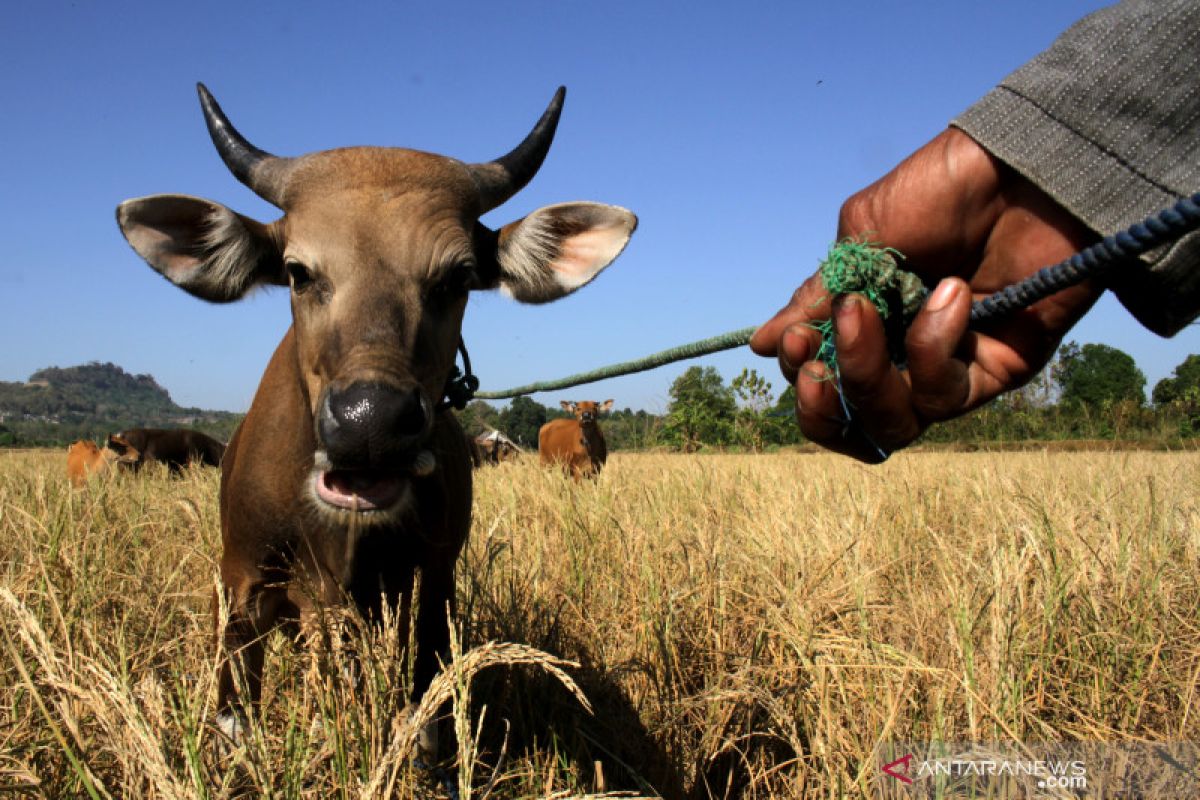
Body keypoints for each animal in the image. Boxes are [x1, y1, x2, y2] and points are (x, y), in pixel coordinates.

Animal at [113, 84, 638, 743]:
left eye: (458, 277)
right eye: (297, 271)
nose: (370, 423)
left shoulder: (432, 581)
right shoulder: (243, 583)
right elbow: (236, 714)